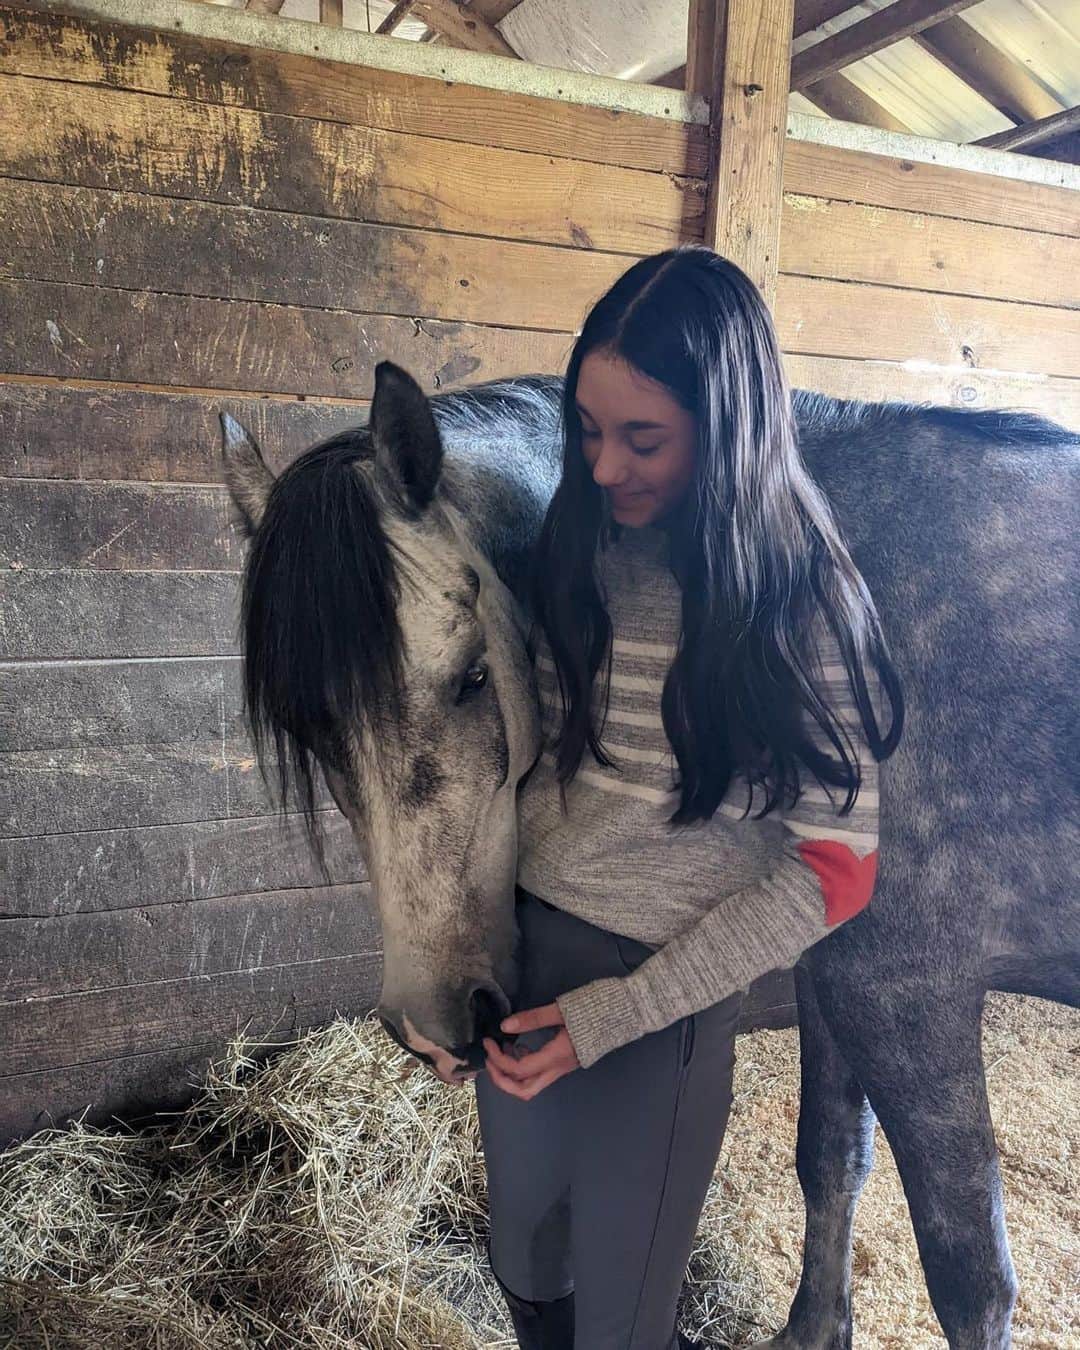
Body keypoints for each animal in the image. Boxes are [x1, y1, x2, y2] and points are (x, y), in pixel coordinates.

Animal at [221, 360, 1079, 1350]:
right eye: (311, 732)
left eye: (472, 678)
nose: (435, 1025)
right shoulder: (834, 977)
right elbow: (831, 1159)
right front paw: (810, 1331)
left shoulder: (905, 993)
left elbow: (971, 1280)